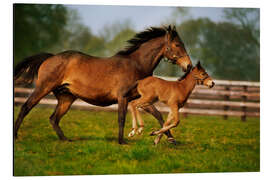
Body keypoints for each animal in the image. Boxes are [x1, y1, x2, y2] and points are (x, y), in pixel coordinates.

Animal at [14, 25, 192, 144]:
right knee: (25, 108)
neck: (136, 65)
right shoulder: (123, 97)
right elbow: (121, 118)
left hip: (66, 98)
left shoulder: (140, 99)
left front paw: (171, 140)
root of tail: (50, 57)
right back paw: (15, 136)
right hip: (43, 88)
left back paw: (66, 140)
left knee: (53, 119)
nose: (189, 66)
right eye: (177, 45)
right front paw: (122, 141)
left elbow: (159, 115)